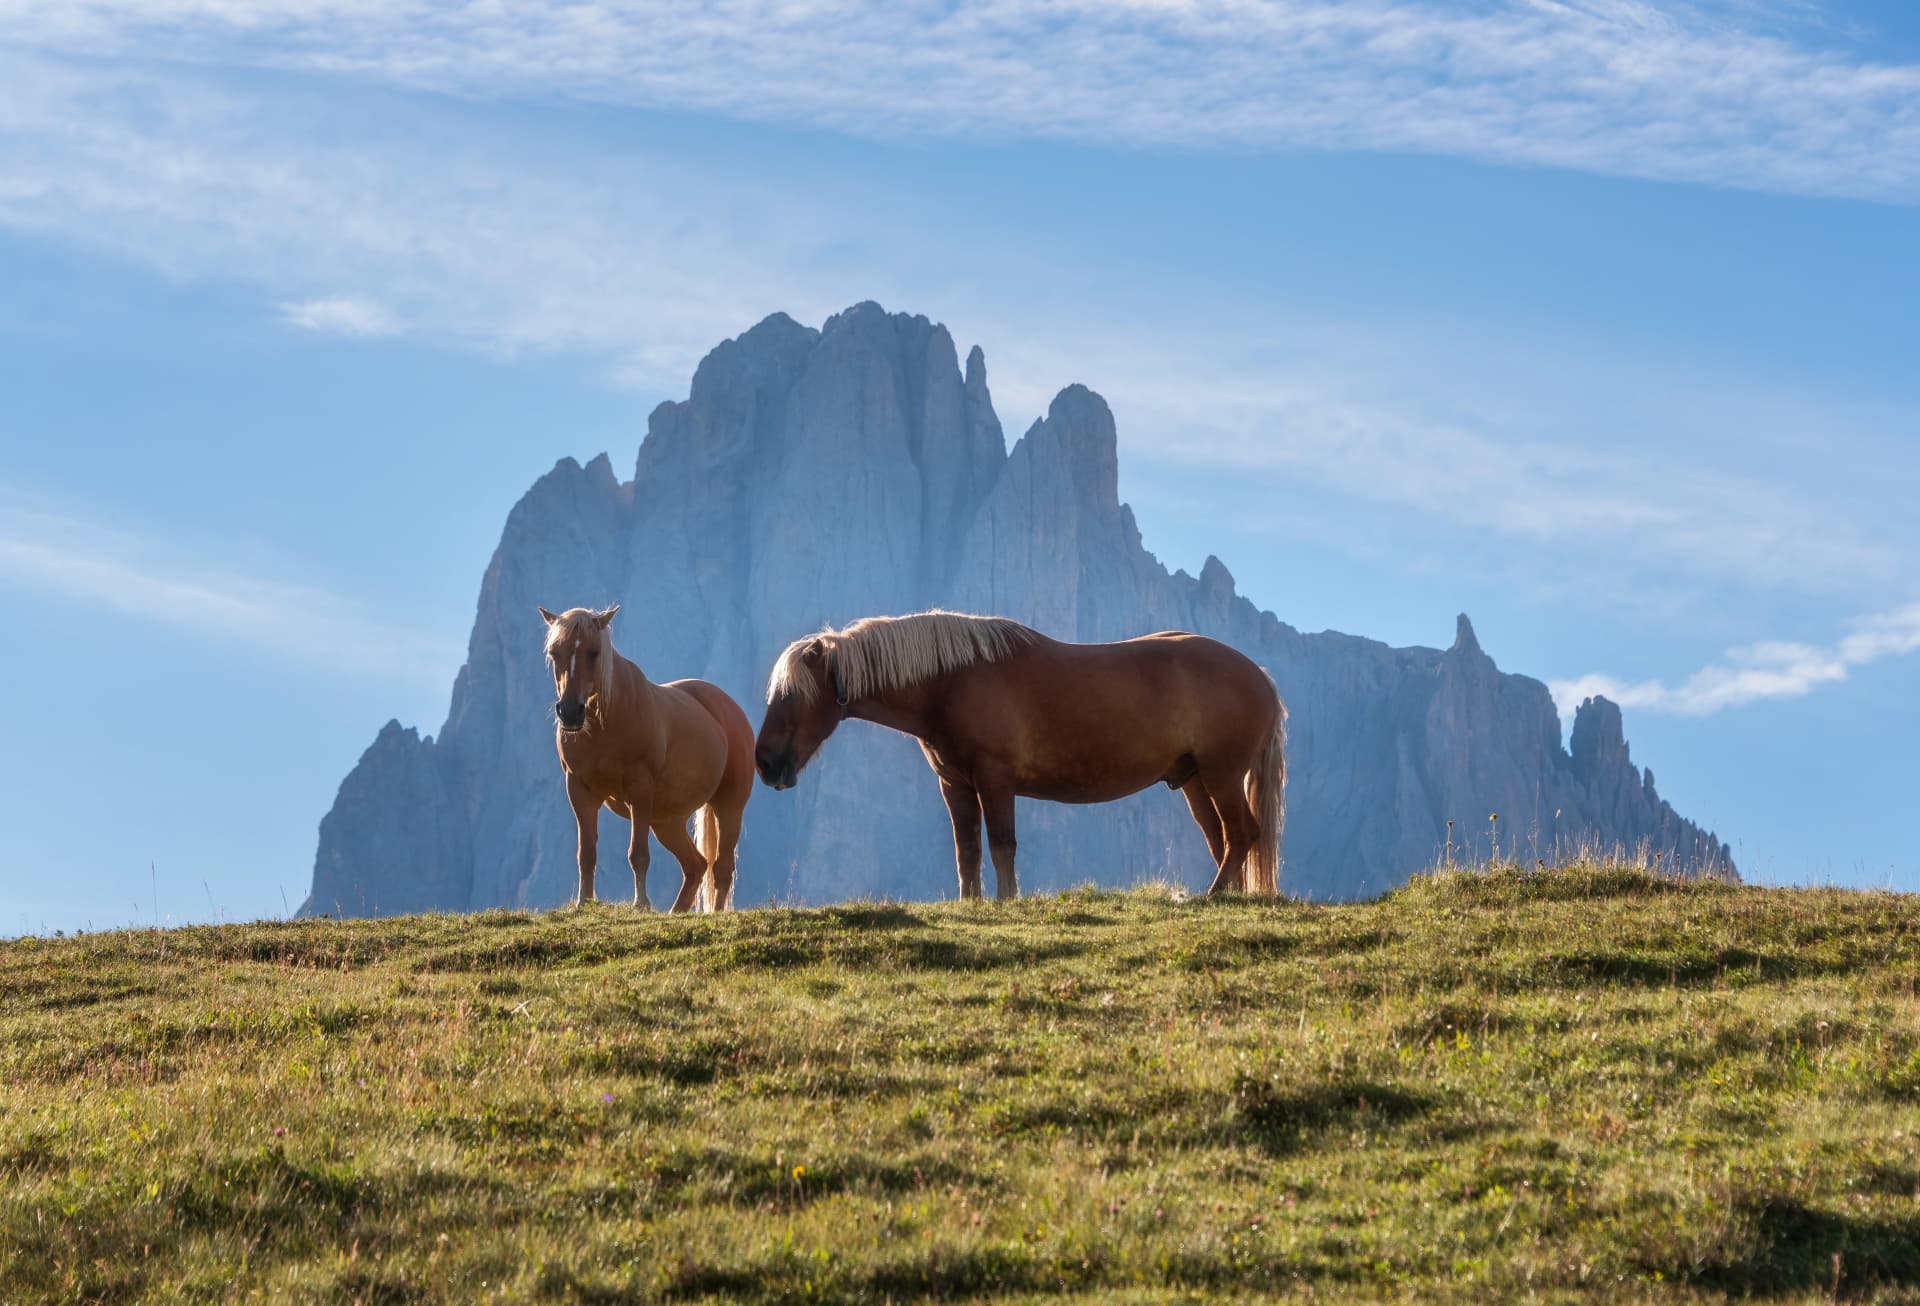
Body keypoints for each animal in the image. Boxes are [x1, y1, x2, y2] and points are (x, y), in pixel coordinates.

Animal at [539, 605, 755, 912]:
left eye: (594, 652)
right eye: (555, 652)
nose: (570, 712)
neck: (606, 723)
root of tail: (730, 709)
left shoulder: (639, 792)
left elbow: (637, 854)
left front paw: (640, 903)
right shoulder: (579, 791)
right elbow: (586, 853)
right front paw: (584, 902)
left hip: (729, 805)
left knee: (721, 867)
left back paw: (714, 913)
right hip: (666, 821)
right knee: (696, 866)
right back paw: (676, 912)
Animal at [753, 610, 1286, 900]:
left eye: (792, 695)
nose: (765, 763)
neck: (952, 681)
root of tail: (1261, 677)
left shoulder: (995, 778)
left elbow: (1001, 845)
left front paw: (1007, 901)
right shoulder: (956, 784)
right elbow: (967, 850)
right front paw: (971, 904)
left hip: (1220, 774)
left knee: (1241, 834)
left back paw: (1212, 897)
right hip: (1195, 780)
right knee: (1224, 840)